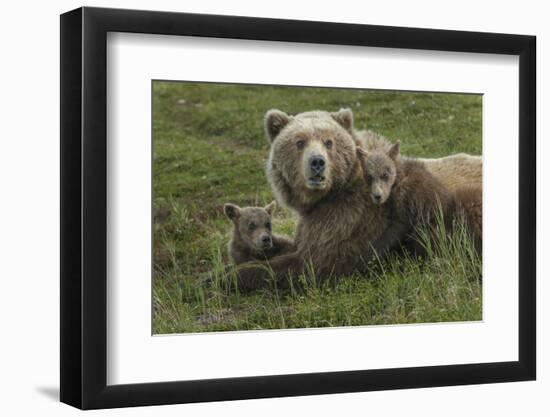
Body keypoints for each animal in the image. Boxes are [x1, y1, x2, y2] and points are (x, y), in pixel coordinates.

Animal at [237, 107, 484, 290]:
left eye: (328, 141)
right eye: (299, 142)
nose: (317, 162)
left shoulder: (352, 217)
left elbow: (314, 263)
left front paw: (232, 274)